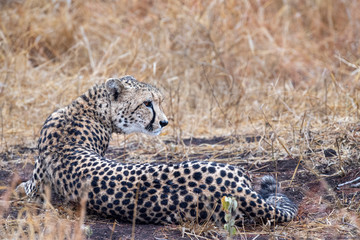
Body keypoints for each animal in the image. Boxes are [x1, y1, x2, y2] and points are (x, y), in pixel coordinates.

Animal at [16, 75, 296, 225]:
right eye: (147, 103)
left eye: (158, 102)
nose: (164, 122)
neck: (88, 108)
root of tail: (236, 189)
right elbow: (28, 188)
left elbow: (28, 186)